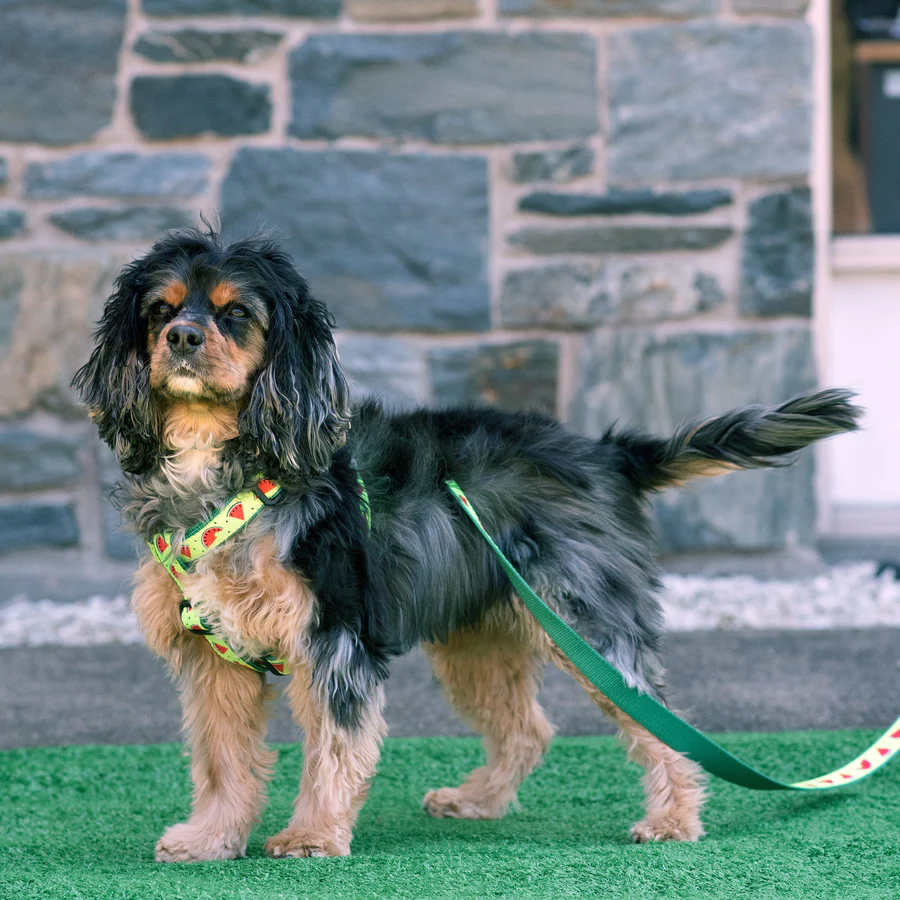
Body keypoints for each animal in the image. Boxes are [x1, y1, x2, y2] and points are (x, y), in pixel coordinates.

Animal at [74, 229, 860, 860]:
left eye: (236, 312)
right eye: (161, 309)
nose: (182, 339)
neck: (229, 463)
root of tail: (608, 454)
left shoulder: (334, 640)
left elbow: (332, 749)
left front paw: (311, 837)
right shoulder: (215, 657)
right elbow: (221, 763)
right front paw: (210, 840)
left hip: (589, 624)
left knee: (661, 724)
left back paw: (673, 820)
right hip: (480, 637)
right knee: (529, 729)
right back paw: (479, 801)